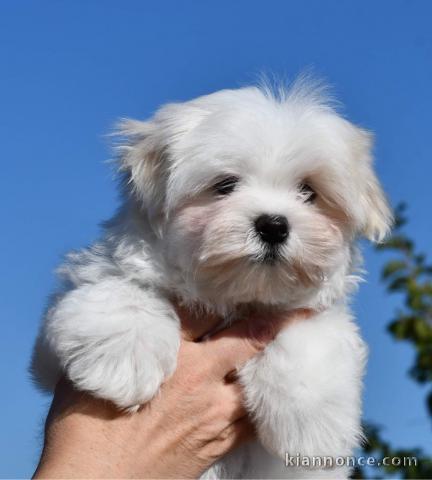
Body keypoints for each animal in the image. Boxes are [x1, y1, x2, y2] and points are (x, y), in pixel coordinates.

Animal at [32, 77, 394, 478]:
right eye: (224, 185)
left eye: (308, 192)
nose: (273, 225)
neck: (232, 297)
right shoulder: (54, 347)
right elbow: (121, 288)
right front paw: (122, 362)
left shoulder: (312, 314)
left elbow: (307, 337)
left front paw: (312, 430)